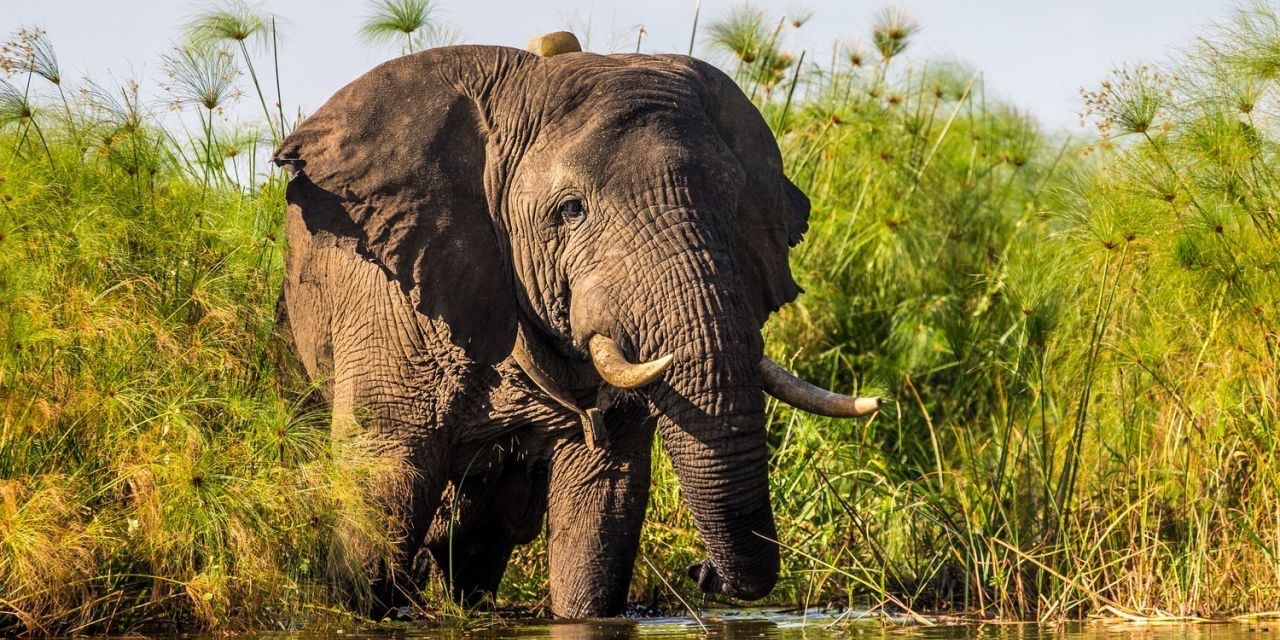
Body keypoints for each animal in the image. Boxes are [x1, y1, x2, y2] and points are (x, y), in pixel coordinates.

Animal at [270, 33, 879, 618]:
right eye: (570, 210)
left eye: (734, 205)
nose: (702, 572)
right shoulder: (391, 301)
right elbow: (384, 480)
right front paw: (362, 609)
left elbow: (600, 504)